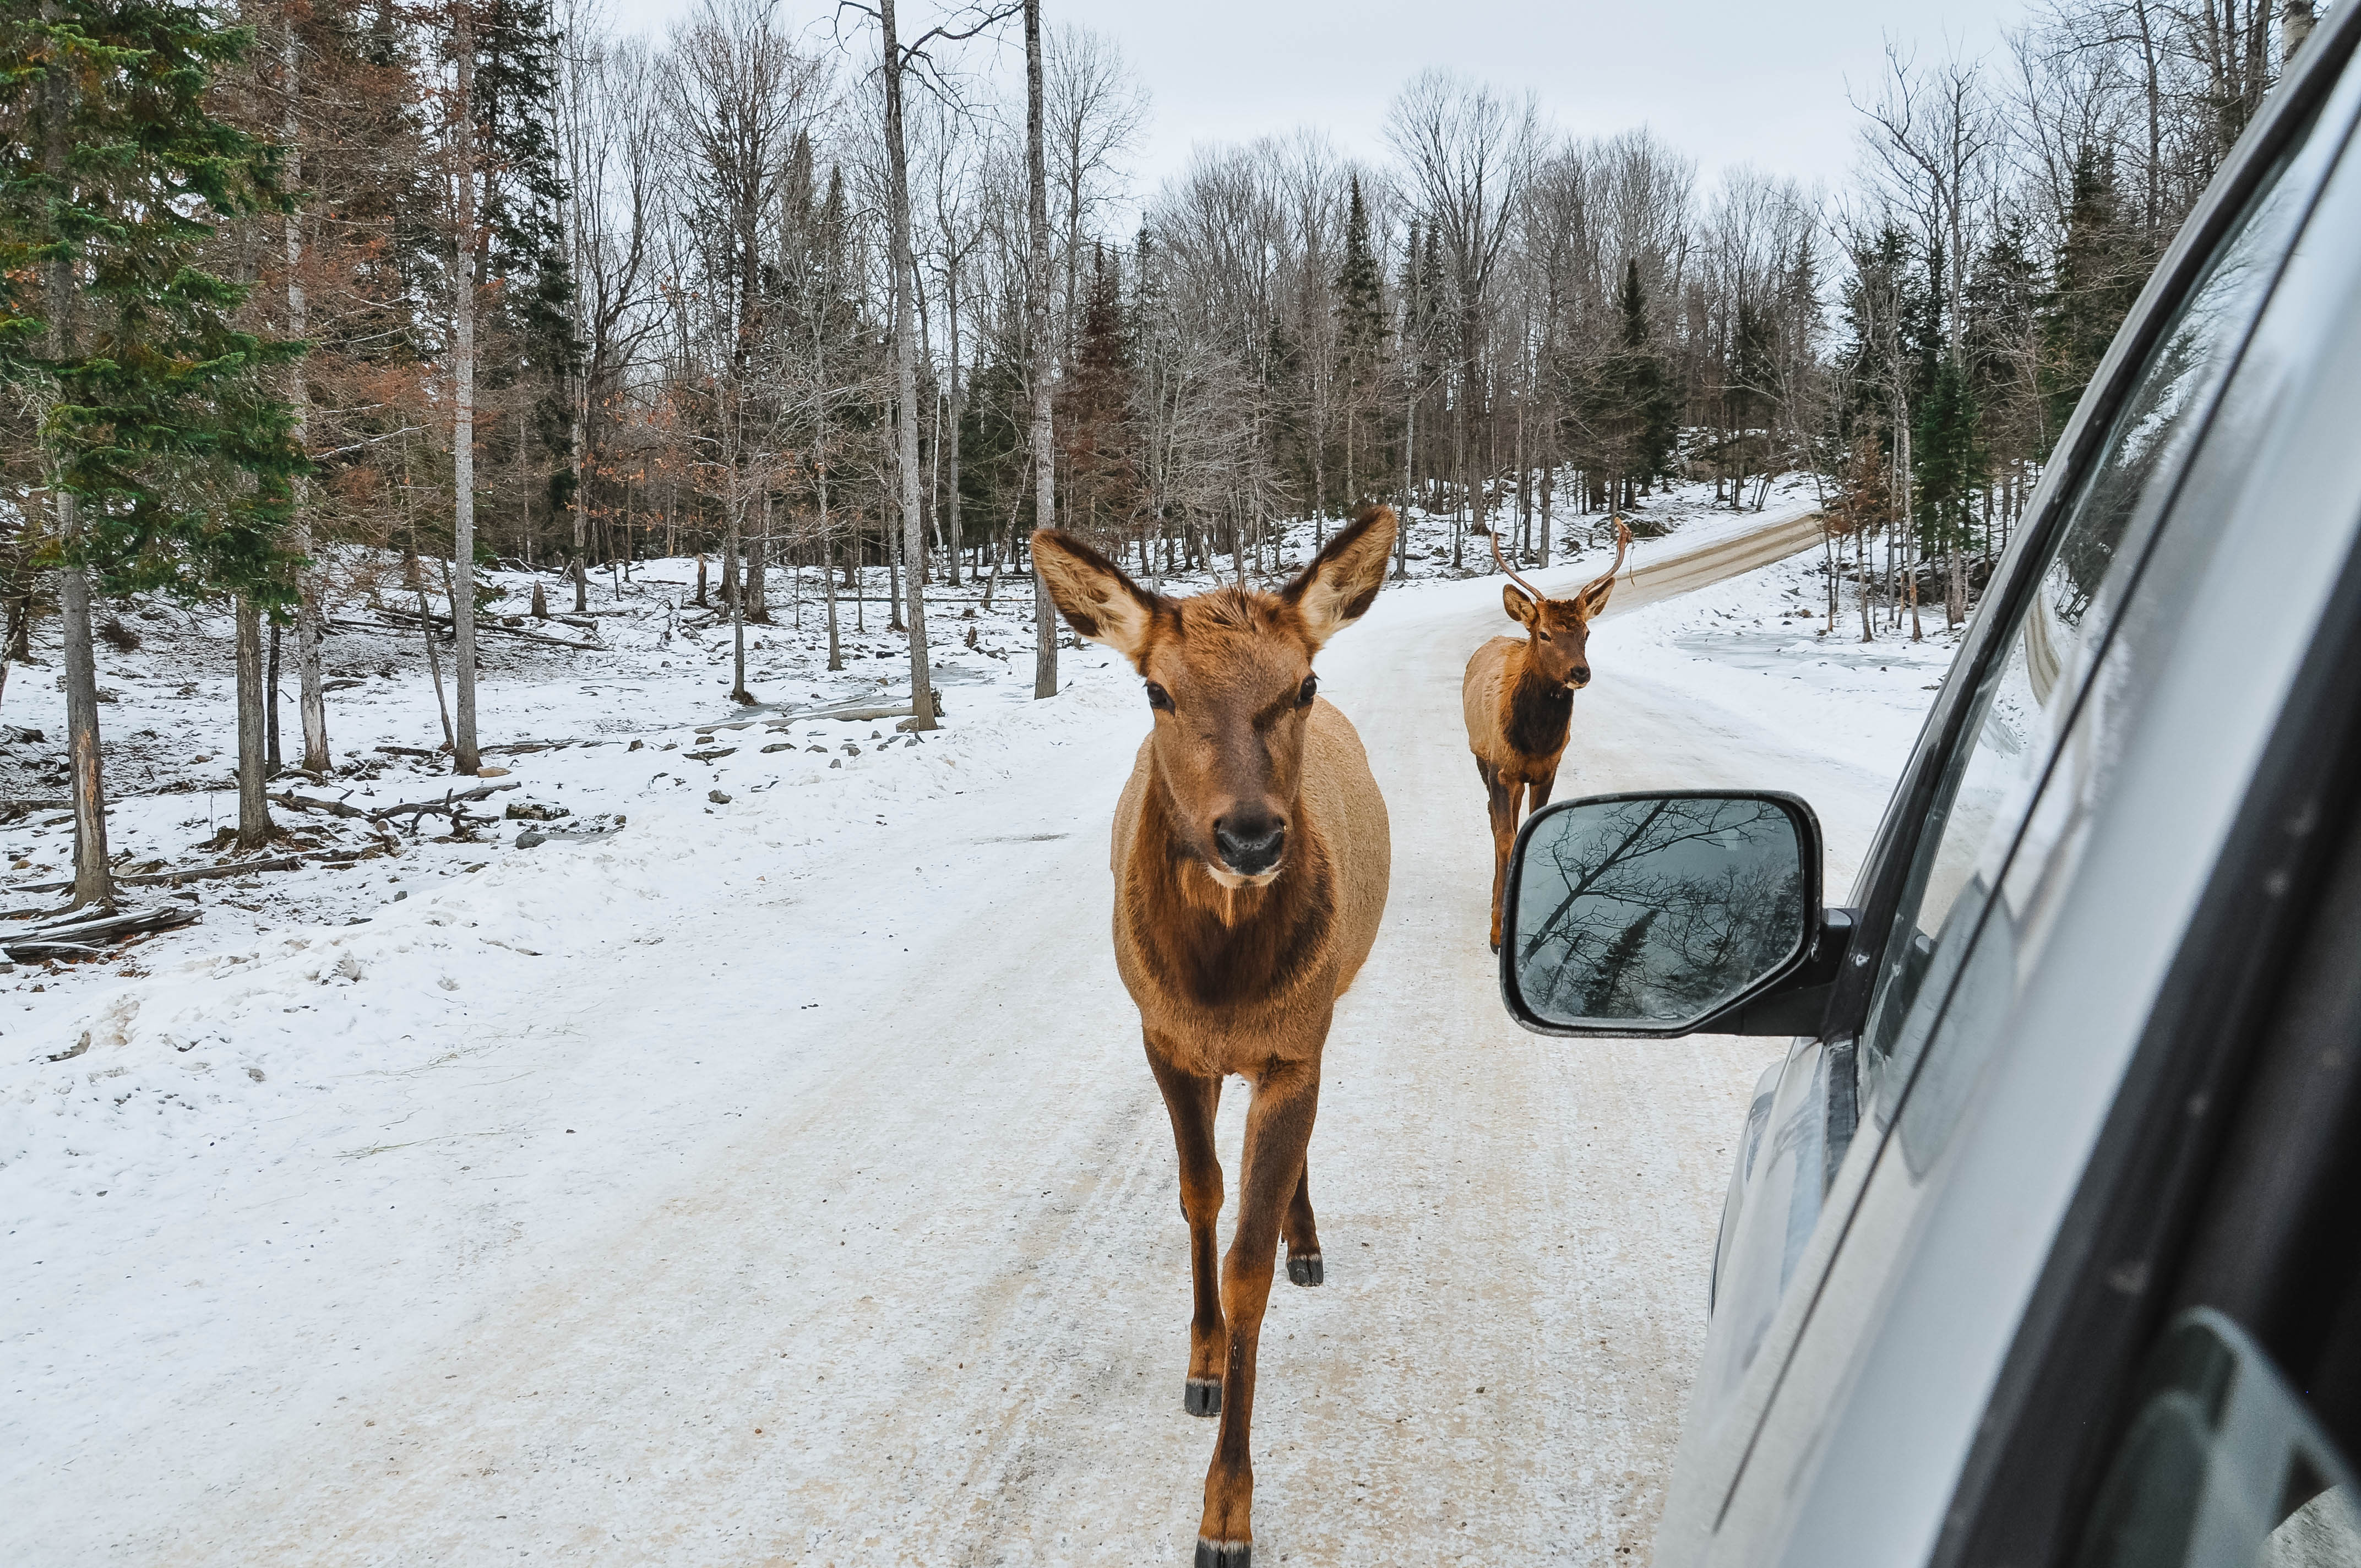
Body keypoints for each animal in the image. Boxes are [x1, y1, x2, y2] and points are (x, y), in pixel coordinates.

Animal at [1034, 505, 1397, 1567]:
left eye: (1303, 683)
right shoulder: (1163, 1039)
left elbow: (1248, 1265)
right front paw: (1198, 1365)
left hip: (1323, 1013)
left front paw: (1226, 1512)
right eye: (1156, 689)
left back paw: (1307, 1238)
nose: (1249, 835)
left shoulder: (1291, 1049)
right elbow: (1199, 1197)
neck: (1223, 992)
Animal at [1454, 519, 1624, 949]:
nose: (1580, 672)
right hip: (1481, 758)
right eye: (1545, 634)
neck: (1534, 740)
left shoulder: (1548, 770)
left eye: (1586, 632)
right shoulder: (1501, 769)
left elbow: (1530, 830)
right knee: (1496, 820)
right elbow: (1505, 837)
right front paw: (1498, 931)